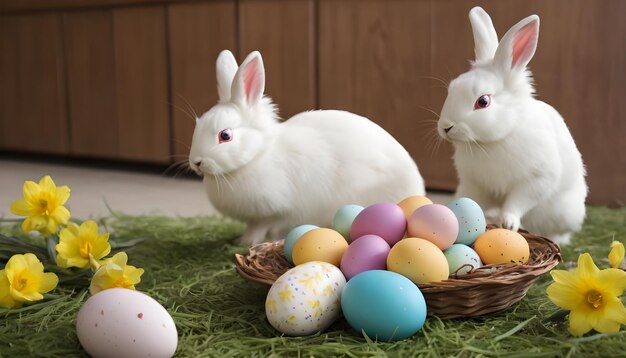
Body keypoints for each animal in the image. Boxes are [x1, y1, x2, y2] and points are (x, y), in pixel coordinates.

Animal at [189, 50, 424, 245]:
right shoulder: (255, 217)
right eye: (198, 125)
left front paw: (247, 243)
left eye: (225, 135)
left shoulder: (271, 213)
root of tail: (417, 191)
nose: (196, 162)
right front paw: (240, 240)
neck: (258, 156)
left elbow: (260, 228)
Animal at [436, 7, 588, 245]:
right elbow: (471, 199)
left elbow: (517, 202)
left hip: (563, 214)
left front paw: (508, 223)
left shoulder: (536, 179)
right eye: (451, 88)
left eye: (483, 101)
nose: (445, 127)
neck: (490, 142)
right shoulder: (473, 184)